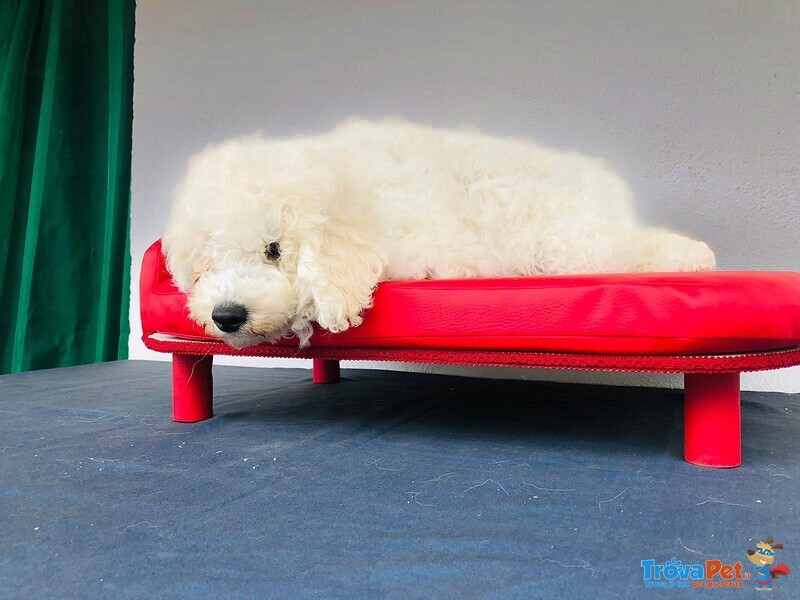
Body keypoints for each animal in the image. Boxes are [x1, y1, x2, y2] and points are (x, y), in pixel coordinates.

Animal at [162, 118, 712, 346]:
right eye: (209, 259)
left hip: (571, 241)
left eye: (274, 250)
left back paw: (695, 254)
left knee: (627, 245)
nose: (227, 315)